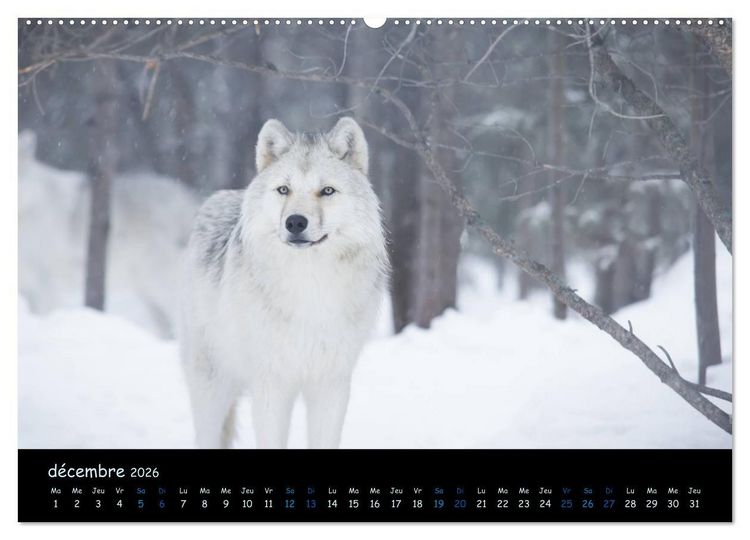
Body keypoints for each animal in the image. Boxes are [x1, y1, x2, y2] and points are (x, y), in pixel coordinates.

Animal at [179, 117, 388, 449]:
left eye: (327, 190)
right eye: (284, 189)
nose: (295, 222)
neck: (309, 287)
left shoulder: (331, 384)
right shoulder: (271, 384)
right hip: (212, 381)